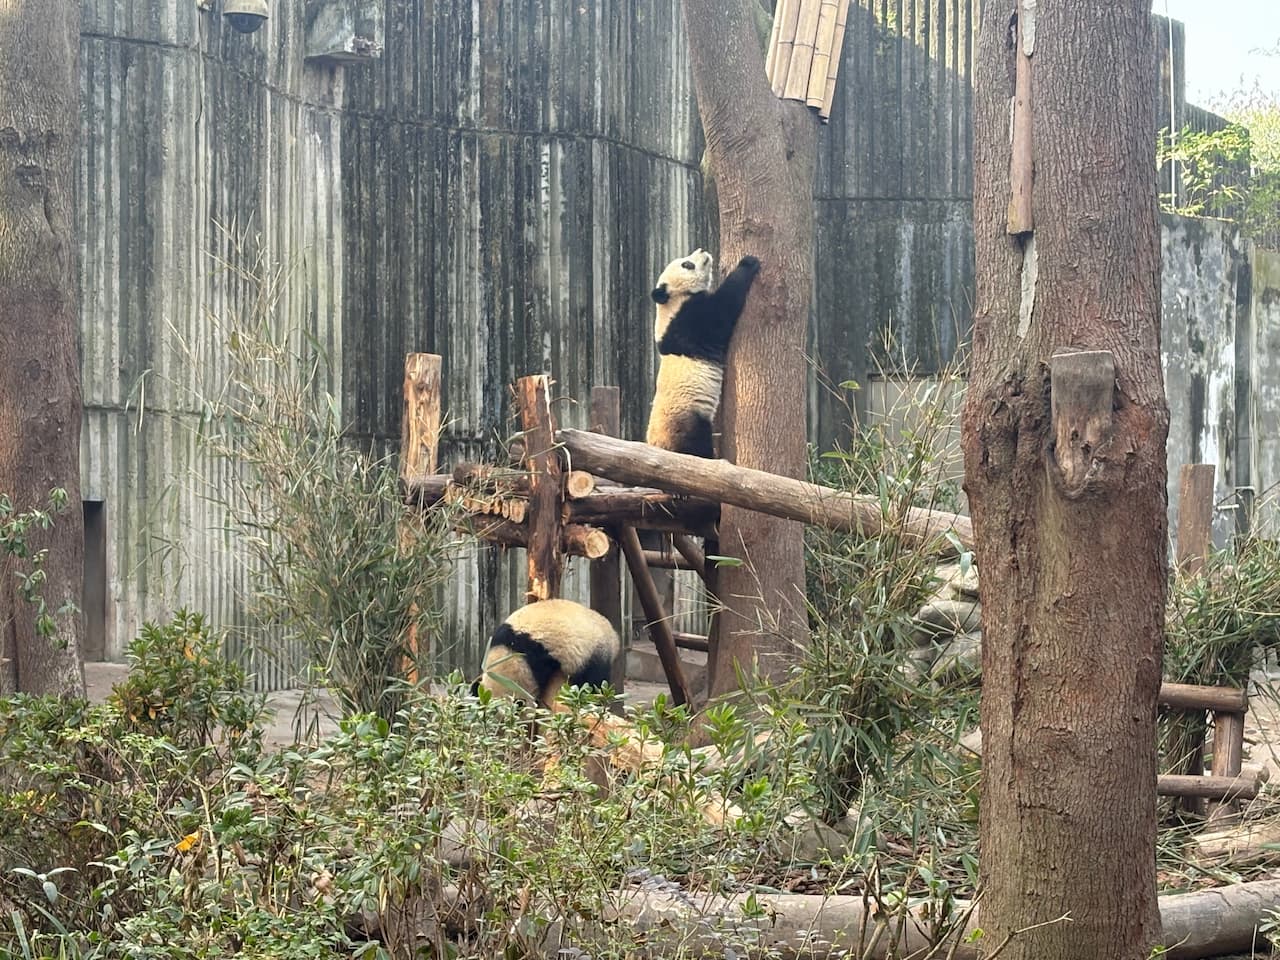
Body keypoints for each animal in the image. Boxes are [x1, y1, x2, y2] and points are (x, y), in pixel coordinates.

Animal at [645, 248, 762, 459]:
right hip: (687, 421)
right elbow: (723, 307)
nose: (701, 250)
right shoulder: (690, 320)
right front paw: (748, 263)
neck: (672, 301)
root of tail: (658, 446)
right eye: (687, 264)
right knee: (696, 447)